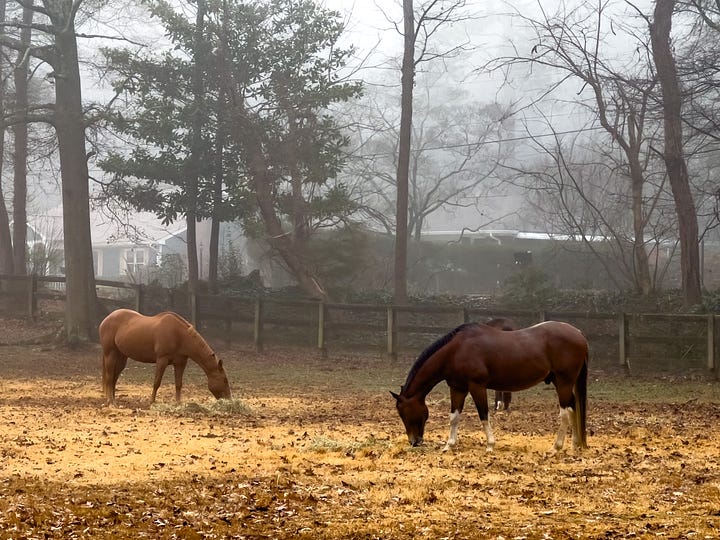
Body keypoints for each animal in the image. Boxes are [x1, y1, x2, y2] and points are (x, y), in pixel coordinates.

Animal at [99, 309, 232, 406]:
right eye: (225, 380)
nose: (229, 399)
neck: (179, 335)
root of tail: (106, 319)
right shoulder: (162, 360)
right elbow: (157, 382)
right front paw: (152, 401)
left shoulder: (180, 363)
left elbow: (179, 384)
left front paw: (178, 403)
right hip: (110, 354)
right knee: (109, 377)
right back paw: (111, 402)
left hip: (121, 358)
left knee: (114, 379)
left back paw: (112, 400)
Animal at [391, 320, 588, 452]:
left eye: (403, 413)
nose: (414, 442)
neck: (456, 351)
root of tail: (579, 334)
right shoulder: (457, 388)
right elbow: (454, 417)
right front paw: (449, 445)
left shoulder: (477, 386)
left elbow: (483, 414)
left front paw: (490, 445)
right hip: (561, 382)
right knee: (572, 408)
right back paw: (575, 444)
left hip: (563, 382)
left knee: (564, 413)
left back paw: (556, 447)